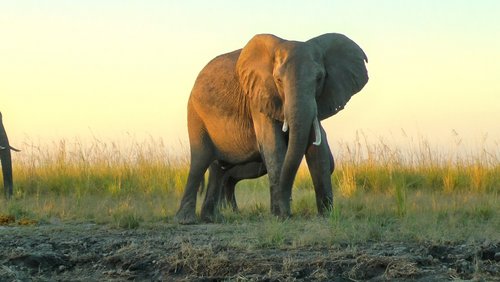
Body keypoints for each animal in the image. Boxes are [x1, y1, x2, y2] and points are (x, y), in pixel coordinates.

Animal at [176, 32, 368, 225]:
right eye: (278, 80)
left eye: (320, 78)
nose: (287, 209)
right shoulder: (258, 97)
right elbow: (273, 146)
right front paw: (281, 216)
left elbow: (317, 150)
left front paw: (326, 215)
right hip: (196, 114)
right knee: (200, 160)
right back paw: (186, 220)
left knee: (219, 168)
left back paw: (211, 218)